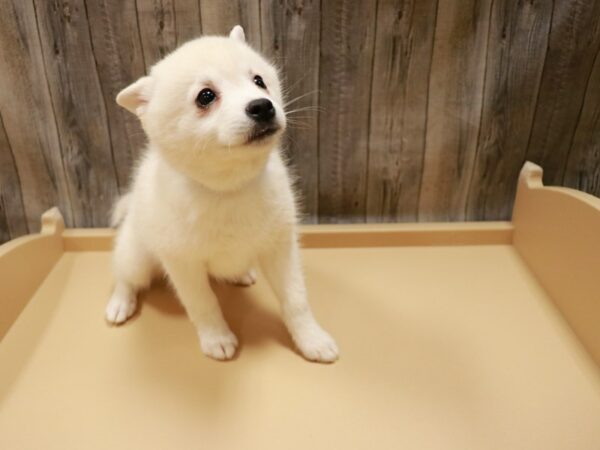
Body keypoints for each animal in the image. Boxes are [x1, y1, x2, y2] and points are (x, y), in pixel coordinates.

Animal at [104, 24, 338, 364]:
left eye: (259, 81)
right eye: (206, 96)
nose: (262, 105)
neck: (229, 189)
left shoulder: (280, 247)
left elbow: (296, 299)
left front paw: (311, 339)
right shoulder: (183, 263)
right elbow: (203, 304)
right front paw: (216, 338)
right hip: (137, 256)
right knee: (126, 276)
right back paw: (120, 302)